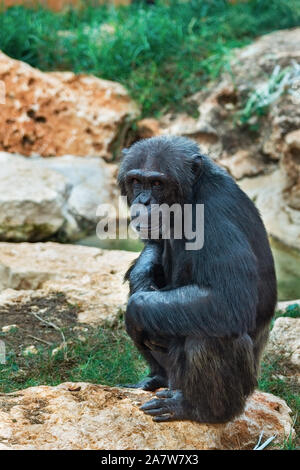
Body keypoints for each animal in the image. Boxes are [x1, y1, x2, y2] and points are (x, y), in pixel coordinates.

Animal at [117, 135, 276, 422]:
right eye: (136, 181)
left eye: (157, 183)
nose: (144, 200)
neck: (188, 200)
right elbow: (155, 244)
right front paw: (140, 277)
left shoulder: (216, 218)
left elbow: (228, 300)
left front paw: (137, 308)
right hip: (173, 378)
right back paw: (154, 378)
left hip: (237, 393)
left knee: (210, 333)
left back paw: (194, 408)